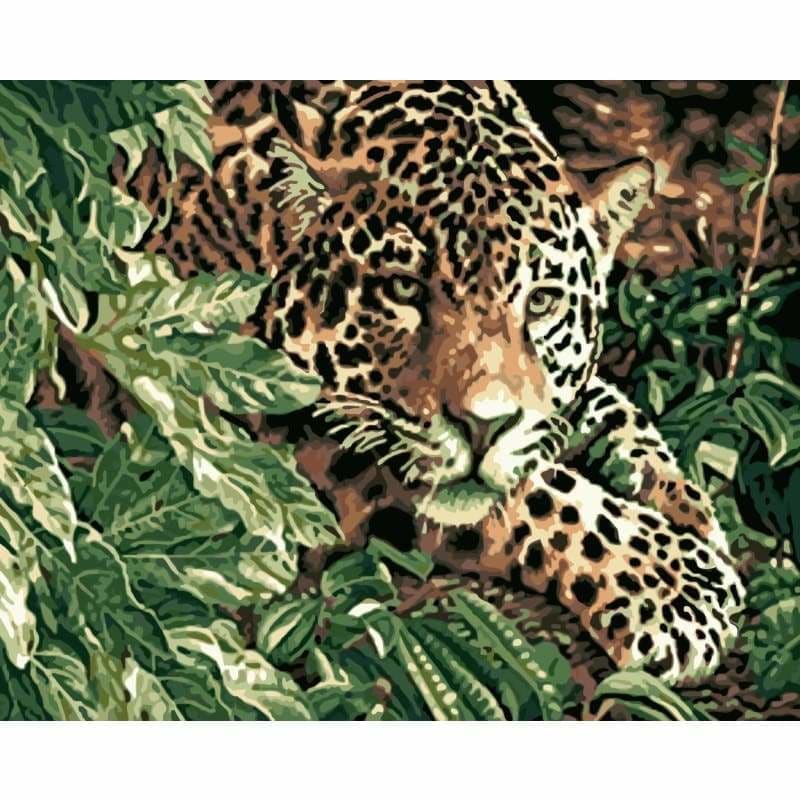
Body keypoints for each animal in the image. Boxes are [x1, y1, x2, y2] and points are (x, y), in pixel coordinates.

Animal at [116, 80, 744, 684]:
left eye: (541, 301)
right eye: (403, 288)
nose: (483, 427)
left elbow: (612, 416)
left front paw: (689, 512)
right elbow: (540, 493)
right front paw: (679, 585)